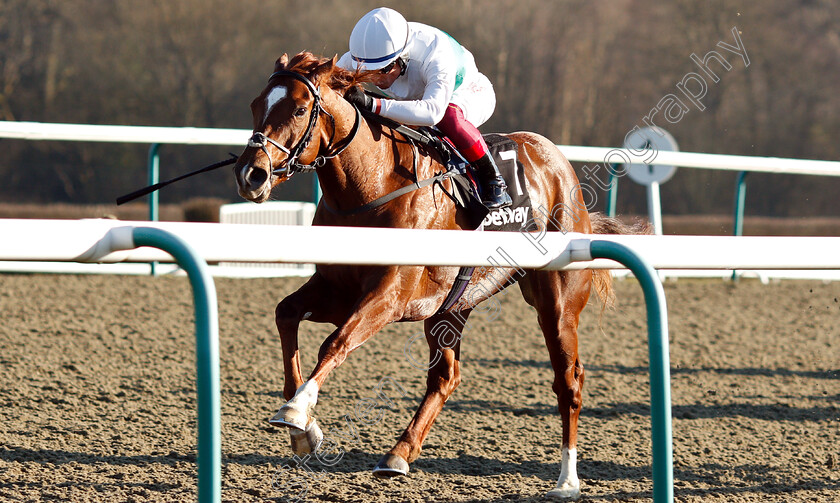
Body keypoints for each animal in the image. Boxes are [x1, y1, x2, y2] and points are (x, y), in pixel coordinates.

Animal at [233, 52, 632, 500]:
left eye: (301, 109)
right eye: (255, 105)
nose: (250, 174)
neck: (372, 187)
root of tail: (560, 164)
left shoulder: (389, 296)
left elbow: (336, 342)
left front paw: (298, 412)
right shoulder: (336, 288)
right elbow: (286, 314)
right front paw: (306, 430)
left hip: (557, 304)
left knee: (568, 382)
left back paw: (566, 480)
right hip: (450, 306)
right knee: (446, 377)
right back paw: (398, 454)